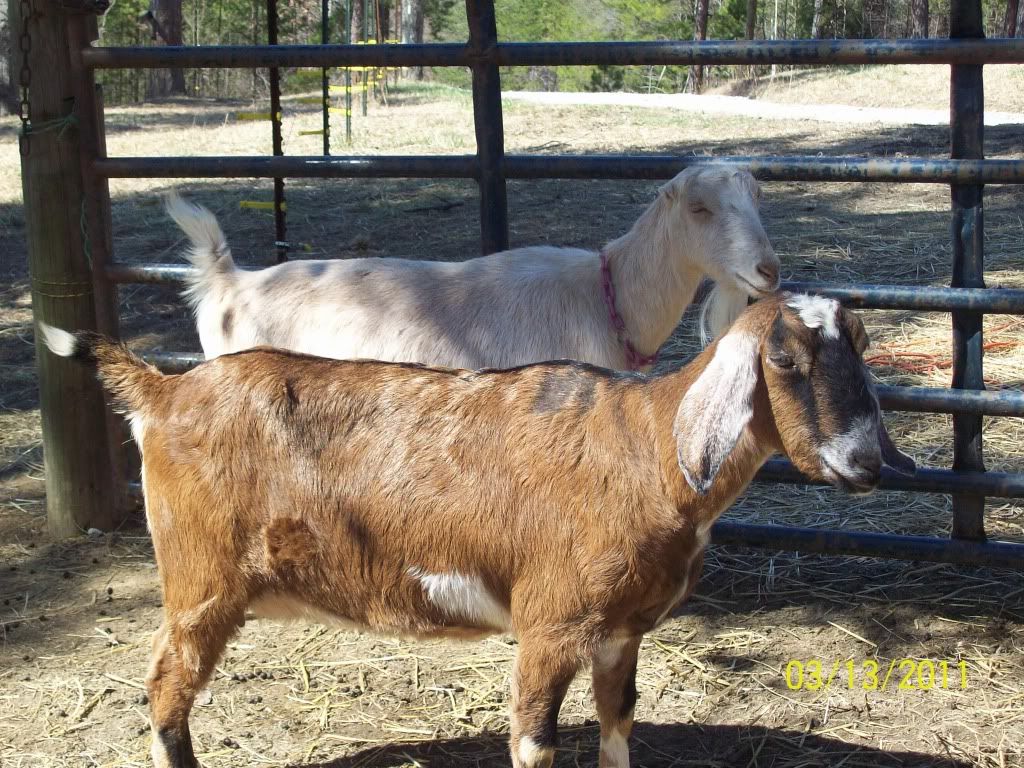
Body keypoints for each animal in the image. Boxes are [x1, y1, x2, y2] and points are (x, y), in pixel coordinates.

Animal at [42, 292, 913, 768]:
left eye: (862, 348)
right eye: (785, 360)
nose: (868, 461)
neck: (647, 450)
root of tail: (162, 391)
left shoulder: (619, 630)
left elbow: (619, 719)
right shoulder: (550, 623)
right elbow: (533, 738)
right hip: (200, 582)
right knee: (166, 686)